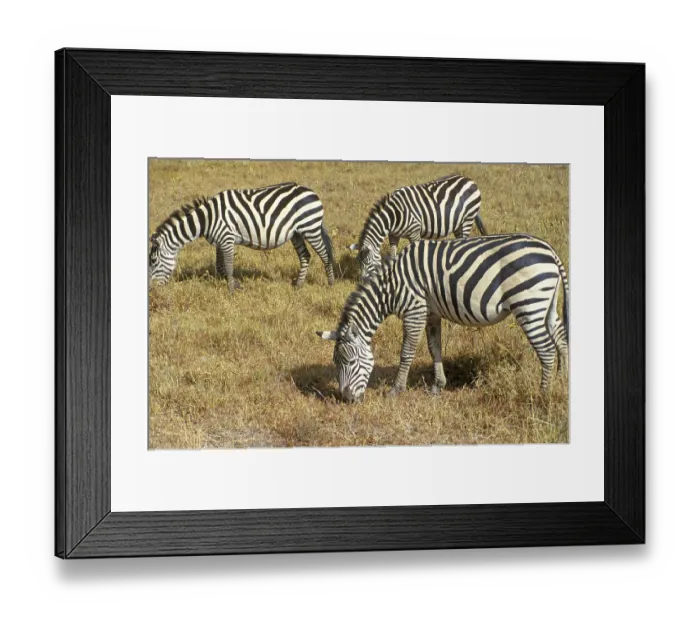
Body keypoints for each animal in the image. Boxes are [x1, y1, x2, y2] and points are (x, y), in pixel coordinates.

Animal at [149, 182, 335, 291]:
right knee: (305, 256)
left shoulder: (227, 238)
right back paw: (298, 285)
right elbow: (220, 266)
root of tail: (311, 191)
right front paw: (234, 285)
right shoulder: (220, 241)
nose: (151, 290)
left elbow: (228, 265)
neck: (207, 219)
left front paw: (231, 290)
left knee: (325, 254)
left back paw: (330, 284)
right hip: (296, 233)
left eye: (153, 262)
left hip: (310, 228)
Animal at [317, 235, 569, 403]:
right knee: (562, 339)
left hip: (529, 305)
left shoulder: (415, 311)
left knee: (546, 350)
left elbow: (406, 352)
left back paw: (543, 394)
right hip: (546, 307)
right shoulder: (431, 313)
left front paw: (396, 390)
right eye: (336, 364)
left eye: (350, 362)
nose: (347, 399)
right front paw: (438, 386)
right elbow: (434, 348)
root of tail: (550, 251)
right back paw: (562, 380)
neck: (390, 287)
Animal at [348, 174, 487, 281]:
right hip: (458, 224)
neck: (394, 215)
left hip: (467, 219)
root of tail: (469, 180)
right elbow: (392, 256)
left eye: (368, 263)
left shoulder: (414, 232)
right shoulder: (393, 235)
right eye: (358, 262)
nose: (361, 283)